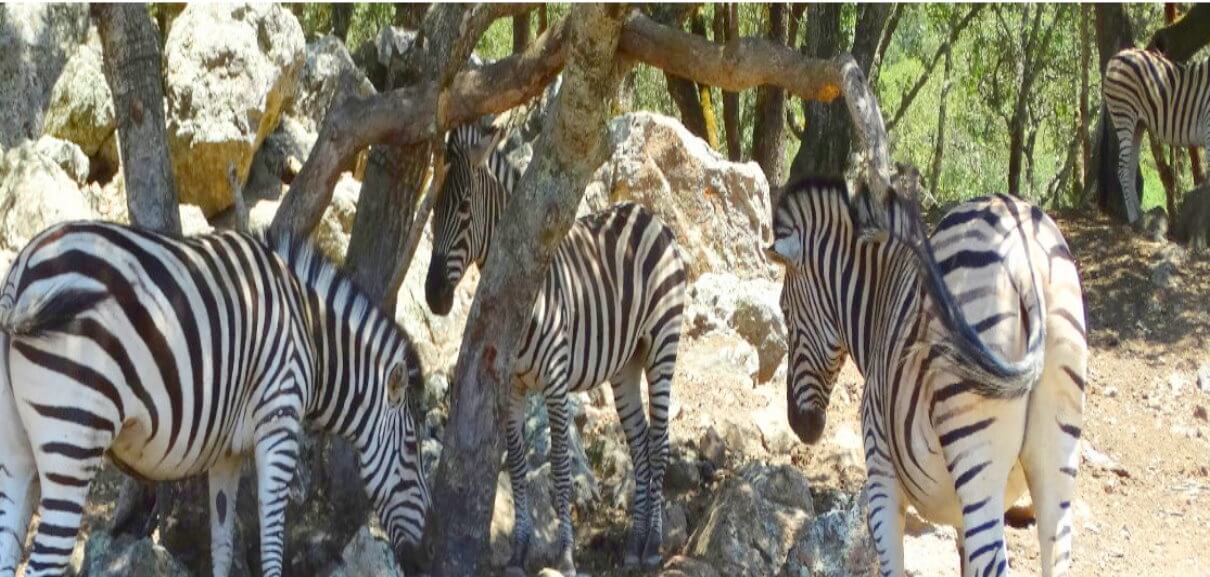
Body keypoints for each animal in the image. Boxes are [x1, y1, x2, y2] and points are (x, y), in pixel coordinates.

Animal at [0, 222, 430, 577]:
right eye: (411, 449)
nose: (421, 557)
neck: (310, 331)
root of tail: (22, 272)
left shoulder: (228, 453)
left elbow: (222, 543)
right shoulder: (279, 423)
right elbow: (271, 541)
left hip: (18, 454)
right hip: (73, 437)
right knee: (44, 562)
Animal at [425, 124, 687, 575]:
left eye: (463, 208)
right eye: (433, 207)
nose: (433, 296)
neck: (527, 296)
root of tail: (648, 215)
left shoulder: (556, 381)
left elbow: (562, 468)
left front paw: (564, 554)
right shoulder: (513, 385)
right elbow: (515, 465)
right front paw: (518, 552)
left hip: (661, 347)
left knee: (659, 442)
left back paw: (653, 543)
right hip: (626, 364)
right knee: (640, 445)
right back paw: (634, 546)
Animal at [768, 177, 1087, 577]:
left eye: (784, 310)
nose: (799, 424)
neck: (881, 301)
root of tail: (1022, 251)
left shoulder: (880, 473)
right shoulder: (960, 516)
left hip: (975, 454)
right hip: (1057, 453)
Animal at [1103, 47, 1210, 224]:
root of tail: (1118, 55)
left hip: (1138, 125)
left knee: (1130, 167)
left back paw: (1140, 213)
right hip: (1124, 115)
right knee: (1123, 168)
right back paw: (1132, 215)